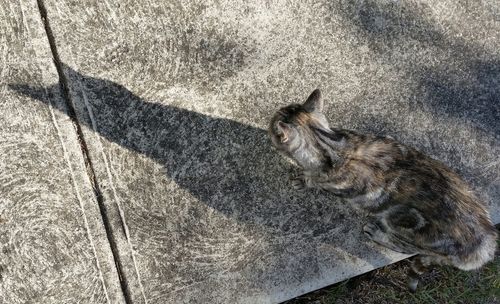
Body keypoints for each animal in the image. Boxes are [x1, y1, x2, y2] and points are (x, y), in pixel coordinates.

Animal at [272, 89, 498, 290]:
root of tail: (484, 245)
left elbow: (314, 180)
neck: (332, 145)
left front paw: (302, 179)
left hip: (403, 225)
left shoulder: (332, 183)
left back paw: (377, 234)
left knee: (403, 247)